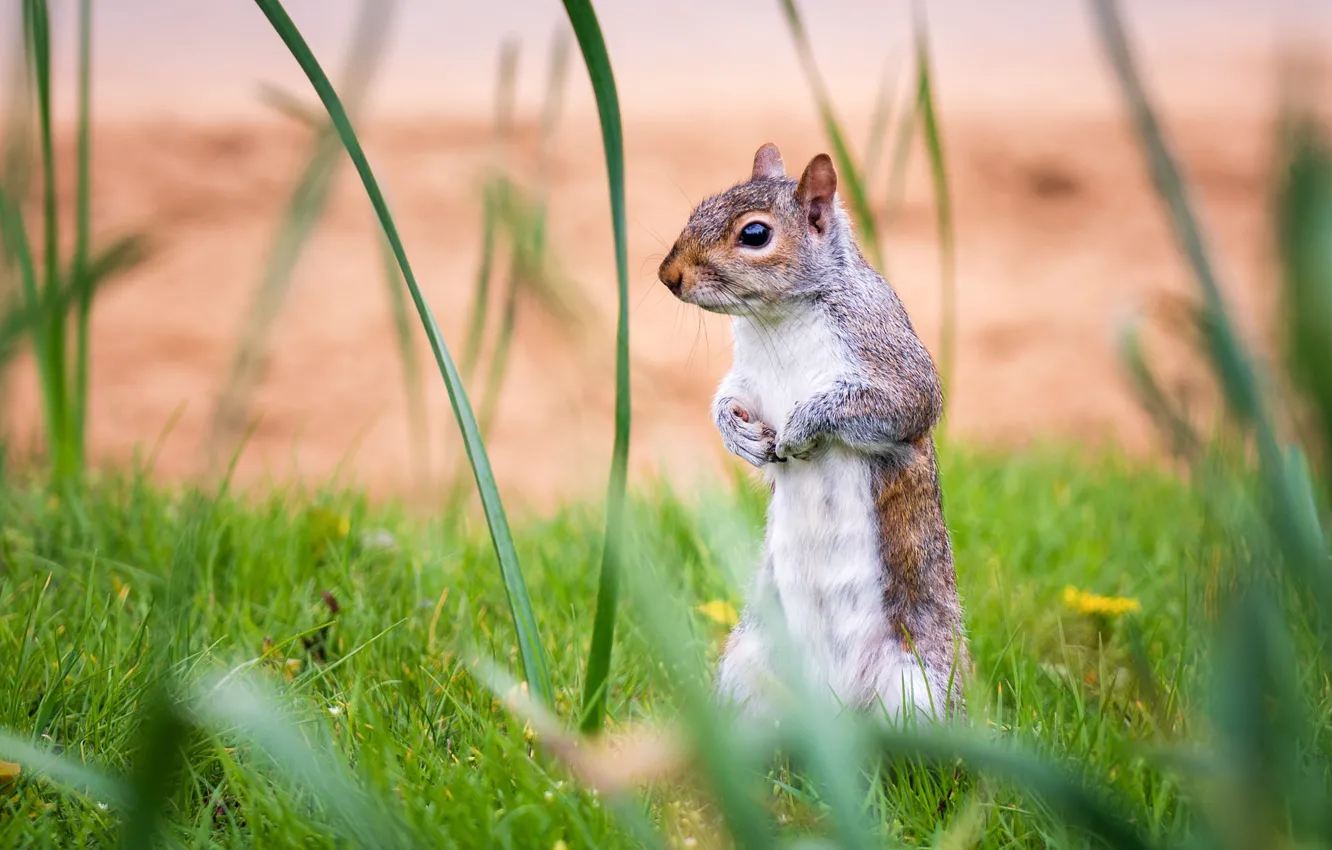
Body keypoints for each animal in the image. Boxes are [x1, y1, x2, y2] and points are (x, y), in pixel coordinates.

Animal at [658, 143, 969, 722]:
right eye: (699, 207)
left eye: (755, 234)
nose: (670, 276)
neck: (779, 318)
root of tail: (833, 711)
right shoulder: (747, 378)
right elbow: (727, 400)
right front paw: (742, 439)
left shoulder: (888, 356)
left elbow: (900, 402)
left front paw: (800, 428)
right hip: (749, 667)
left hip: (917, 685)